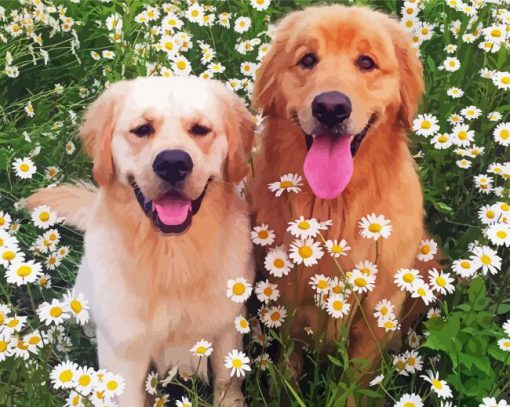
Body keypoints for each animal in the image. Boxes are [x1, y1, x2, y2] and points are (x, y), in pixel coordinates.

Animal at [27, 77, 255, 407]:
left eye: (200, 129)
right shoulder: (125, 355)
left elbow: (228, 385)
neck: (173, 259)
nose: (172, 163)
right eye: (142, 129)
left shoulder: (228, 329)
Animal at [249, 5, 436, 382]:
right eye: (308, 59)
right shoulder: (286, 305)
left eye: (366, 62)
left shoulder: (376, 318)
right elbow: (286, 371)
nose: (331, 107)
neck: (333, 209)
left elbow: (355, 381)